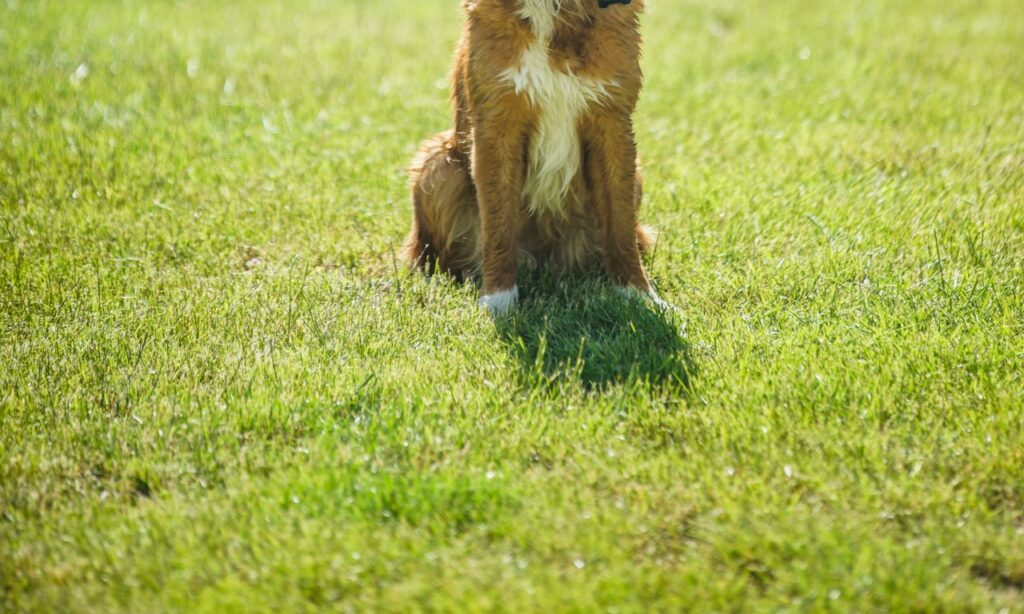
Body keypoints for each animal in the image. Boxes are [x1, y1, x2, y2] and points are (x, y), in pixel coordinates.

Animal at [399, 0, 663, 315]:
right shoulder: (496, 128)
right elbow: (498, 226)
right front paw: (498, 300)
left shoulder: (612, 125)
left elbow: (620, 226)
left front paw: (638, 294)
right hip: (437, 166)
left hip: (636, 175)